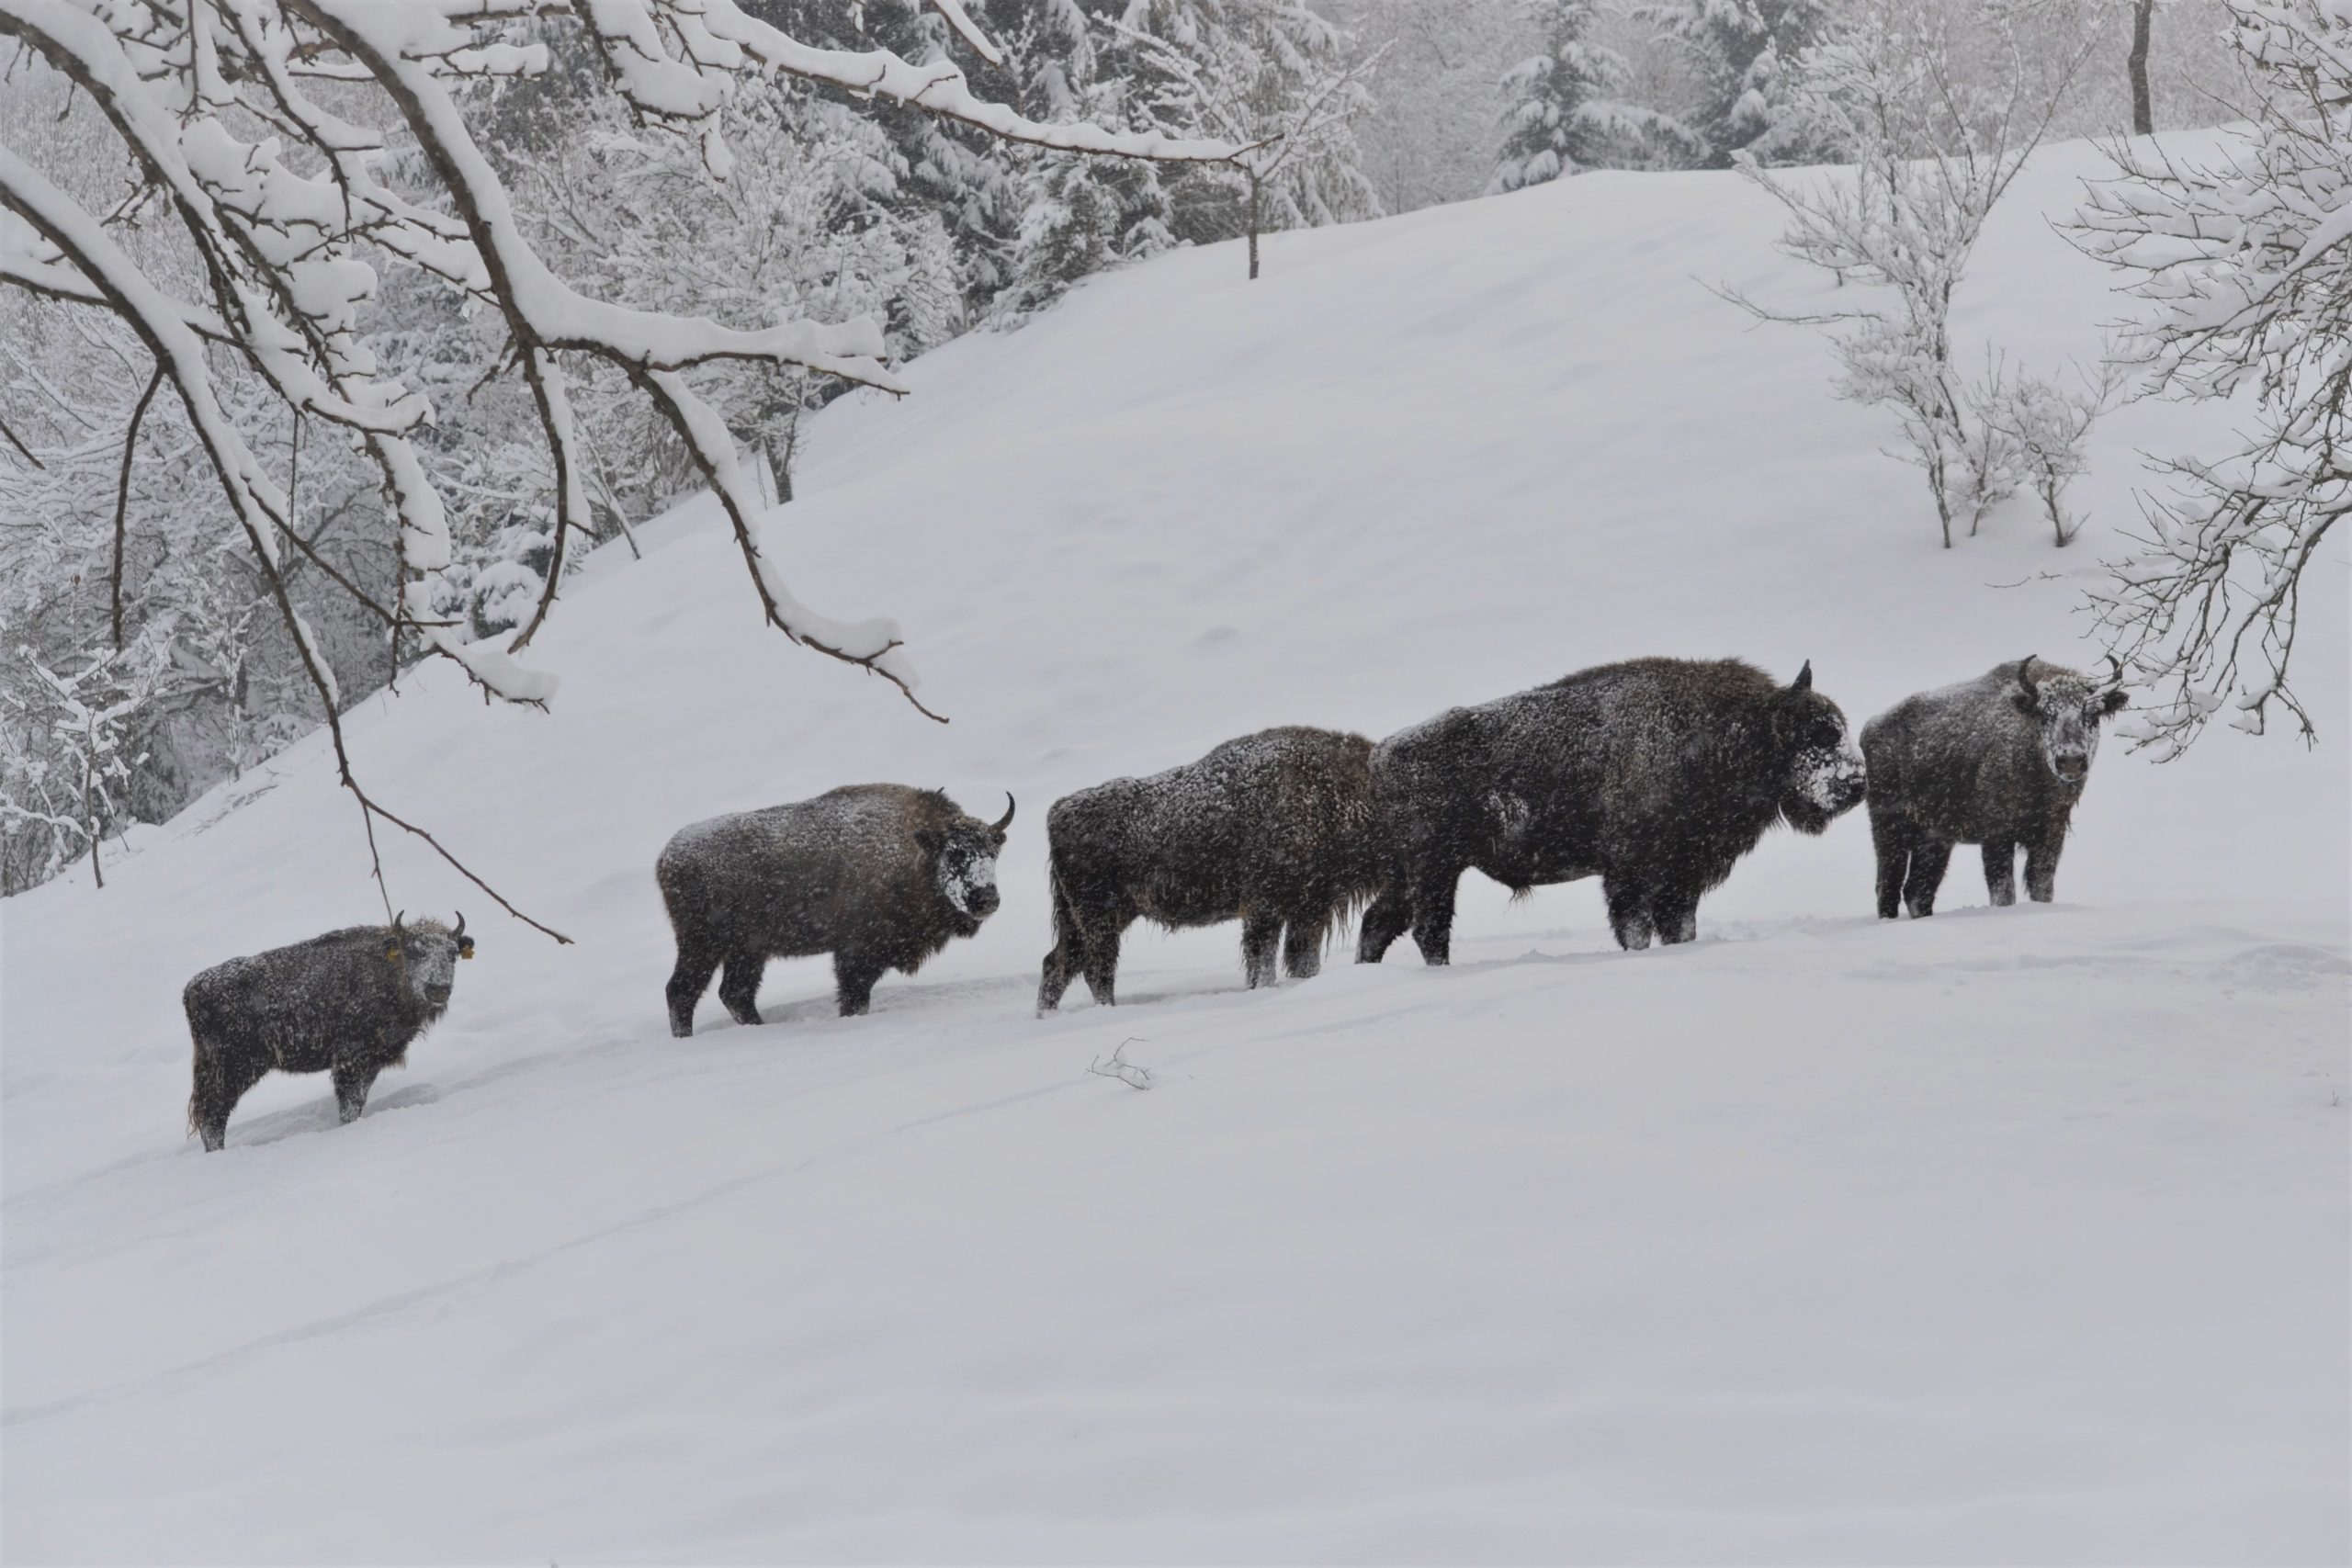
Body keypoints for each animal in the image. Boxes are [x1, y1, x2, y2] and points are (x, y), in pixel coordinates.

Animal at [653, 780, 1011, 1029]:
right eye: (955, 854)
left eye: (993, 852)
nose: (987, 898)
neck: (914, 852)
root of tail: (666, 857)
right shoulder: (856, 953)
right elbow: (854, 997)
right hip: (702, 945)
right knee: (682, 991)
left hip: (748, 950)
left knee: (735, 993)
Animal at [1039, 728, 1383, 1010]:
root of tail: (1058, 811)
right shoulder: (1265, 908)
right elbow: (1263, 962)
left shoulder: (1310, 910)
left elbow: (1302, 962)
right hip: (1101, 918)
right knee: (1096, 969)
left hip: (1080, 919)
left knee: (1058, 963)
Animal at [1354, 658, 1862, 964]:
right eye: (1815, 734)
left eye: (1838, 728)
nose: (1857, 783)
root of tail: (1380, 755)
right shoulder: (1633, 872)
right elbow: (1634, 926)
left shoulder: (1683, 876)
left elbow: (1680, 927)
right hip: (1435, 867)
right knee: (1428, 929)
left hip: (1413, 873)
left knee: (1381, 921)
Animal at [1853, 653, 2135, 921]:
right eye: (2045, 713)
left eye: (2094, 714)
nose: (2071, 760)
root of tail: (1870, 729)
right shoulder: (1997, 837)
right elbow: (2003, 890)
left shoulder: (2051, 834)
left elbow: (2042, 886)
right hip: (1889, 830)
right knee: (1888, 886)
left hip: (1934, 839)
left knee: (1917, 891)